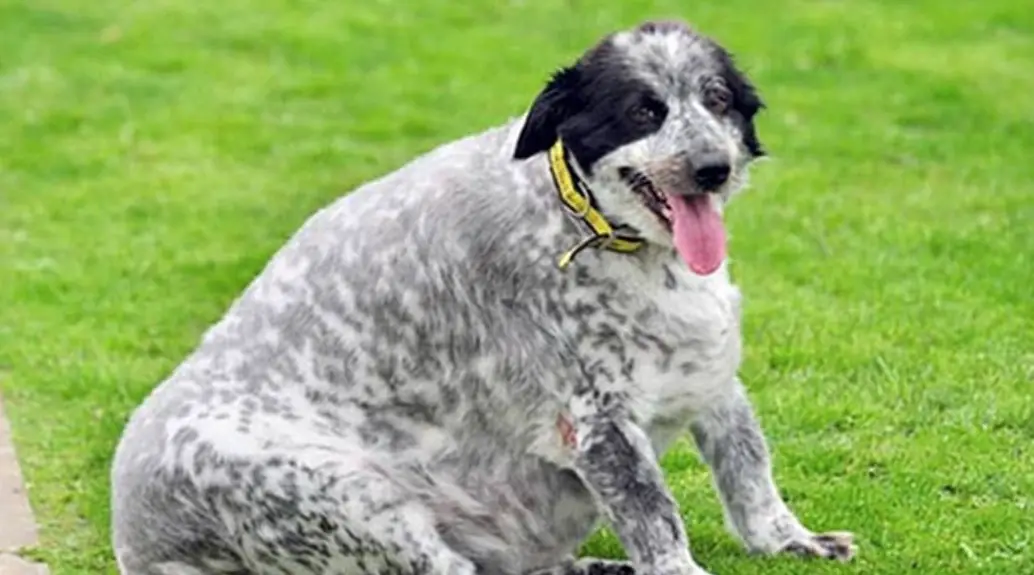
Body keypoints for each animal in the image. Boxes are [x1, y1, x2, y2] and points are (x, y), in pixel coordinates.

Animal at [111, 19, 856, 575]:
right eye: (643, 110)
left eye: (717, 99)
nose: (712, 168)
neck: (587, 223)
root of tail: (134, 541)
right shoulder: (597, 423)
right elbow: (657, 518)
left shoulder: (710, 373)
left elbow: (749, 469)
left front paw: (790, 538)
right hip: (349, 497)